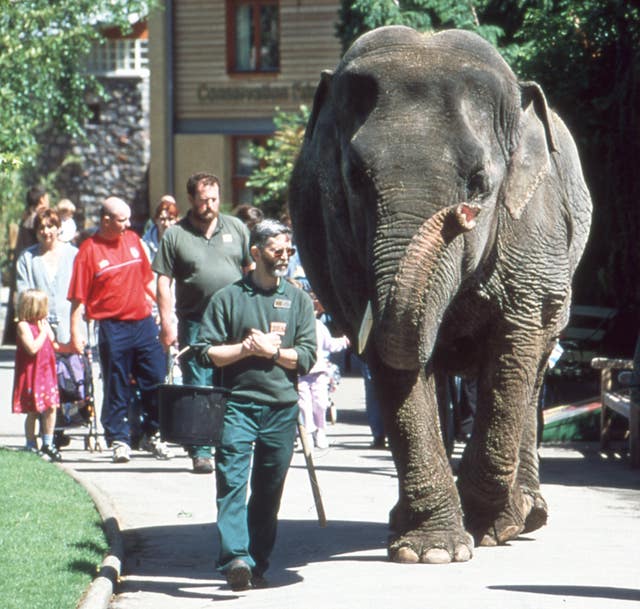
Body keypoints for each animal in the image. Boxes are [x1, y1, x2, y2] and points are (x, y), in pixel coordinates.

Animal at [288, 26, 592, 564]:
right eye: (354, 178)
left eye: (479, 182)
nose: (461, 215)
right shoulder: (337, 241)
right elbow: (390, 355)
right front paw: (432, 551)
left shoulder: (534, 229)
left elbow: (514, 345)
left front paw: (493, 528)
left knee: (533, 368)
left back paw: (529, 513)